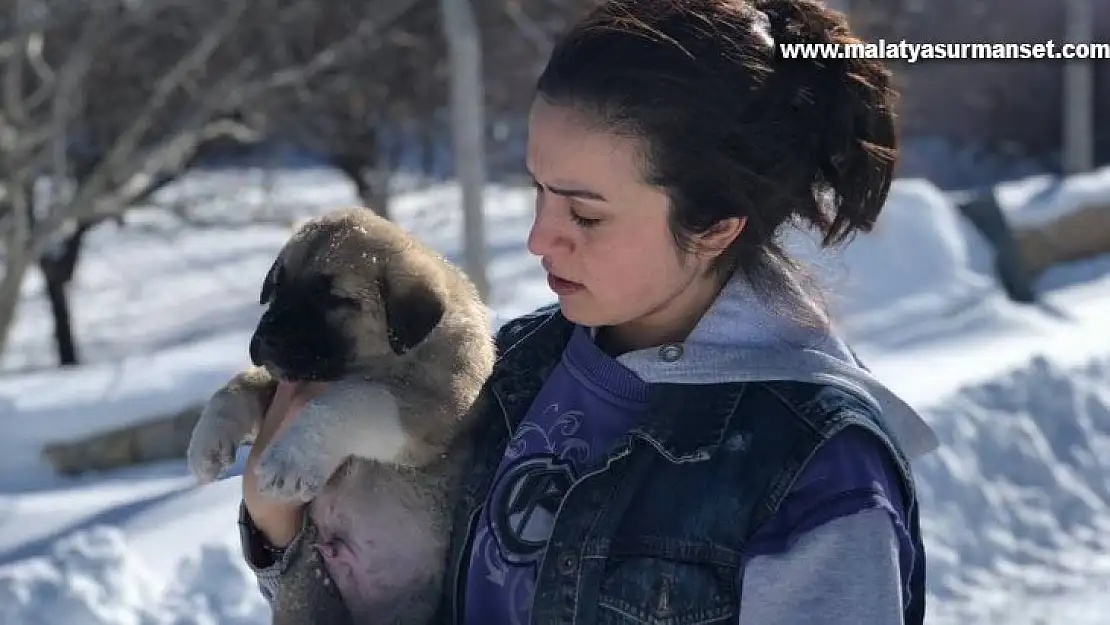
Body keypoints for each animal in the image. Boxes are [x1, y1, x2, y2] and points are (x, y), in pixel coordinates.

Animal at [186, 208, 495, 625]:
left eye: (332, 298)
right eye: (277, 286)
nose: (263, 339)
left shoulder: (433, 405)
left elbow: (350, 398)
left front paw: (290, 459)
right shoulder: (281, 381)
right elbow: (238, 386)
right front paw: (205, 446)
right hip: (307, 587)